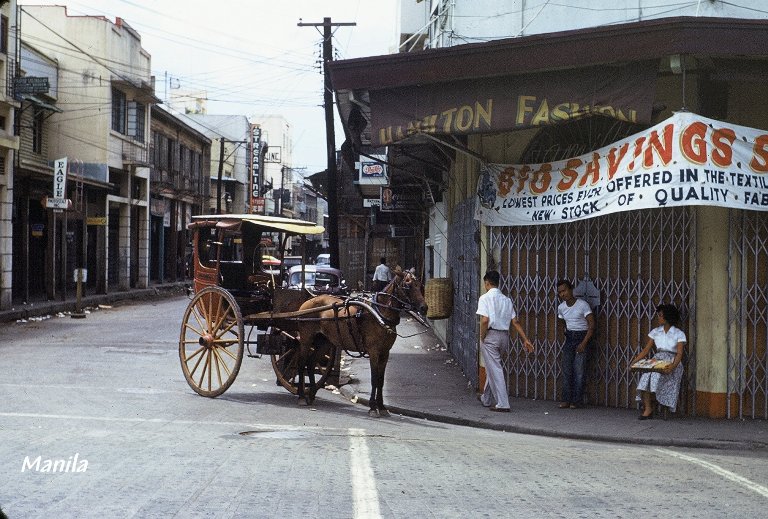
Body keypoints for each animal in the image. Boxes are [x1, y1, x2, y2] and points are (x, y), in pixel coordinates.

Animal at [296, 270, 428, 416]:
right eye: (407, 286)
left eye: (420, 285)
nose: (424, 308)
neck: (379, 313)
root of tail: (308, 302)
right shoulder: (374, 352)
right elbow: (374, 379)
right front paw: (373, 407)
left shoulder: (385, 353)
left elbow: (381, 380)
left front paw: (381, 407)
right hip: (306, 339)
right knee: (301, 364)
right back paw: (301, 396)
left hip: (325, 342)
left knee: (311, 363)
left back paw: (312, 394)